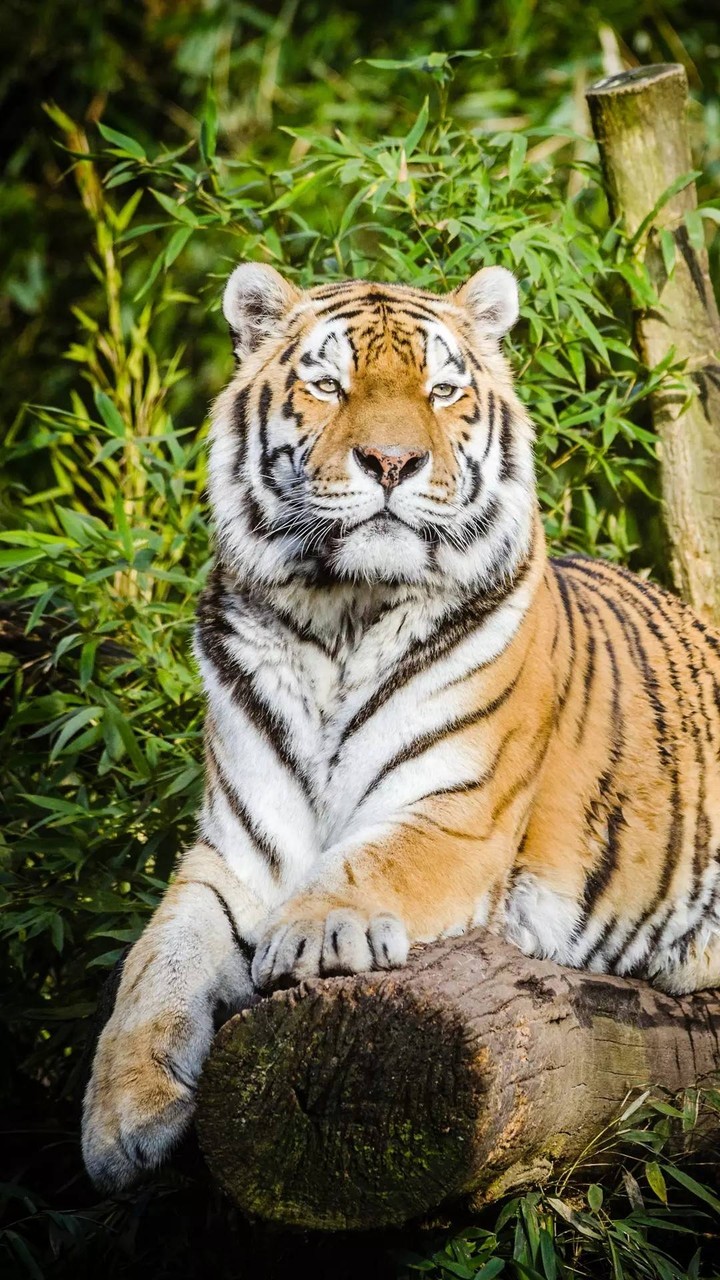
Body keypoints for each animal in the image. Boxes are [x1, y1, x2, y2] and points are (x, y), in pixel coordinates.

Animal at [82, 261, 720, 1192]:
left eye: (442, 390)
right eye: (329, 384)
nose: (392, 461)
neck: (339, 618)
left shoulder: (456, 816)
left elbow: (371, 859)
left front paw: (313, 933)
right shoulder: (234, 851)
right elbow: (153, 965)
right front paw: (122, 1117)